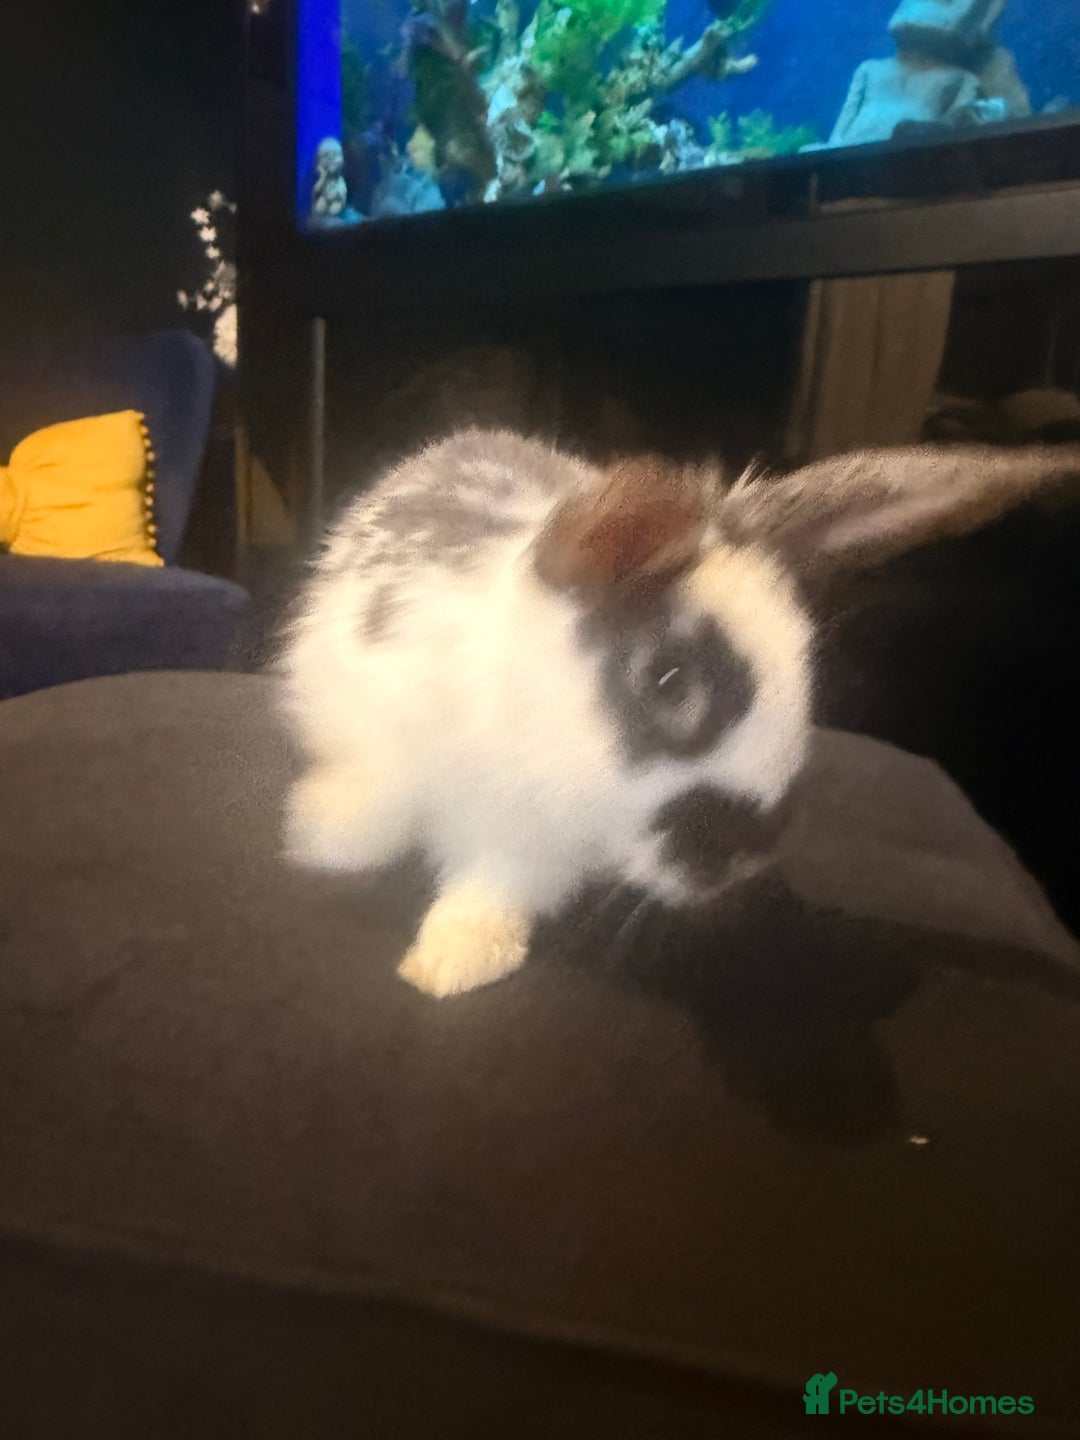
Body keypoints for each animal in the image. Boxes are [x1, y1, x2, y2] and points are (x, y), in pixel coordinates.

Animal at [278, 428, 1079, 998]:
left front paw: (454, 963)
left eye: (805, 677)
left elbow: (492, 888)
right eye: (671, 683)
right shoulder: (374, 723)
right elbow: (372, 807)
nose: (746, 856)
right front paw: (321, 839)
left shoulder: (530, 849)